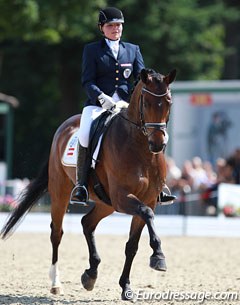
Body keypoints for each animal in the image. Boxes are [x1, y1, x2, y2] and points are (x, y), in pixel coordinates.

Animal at [0, 68, 176, 300]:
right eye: (146, 103)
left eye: (169, 103)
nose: (158, 144)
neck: (140, 149)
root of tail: (65, 126)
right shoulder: (123, 198)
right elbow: (146, 214)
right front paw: (159, 256)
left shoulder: (147, 199)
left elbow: (132, 244)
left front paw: (126, 286)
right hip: (61, 192)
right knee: (57, 233)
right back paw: (56, 283)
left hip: (105, 203)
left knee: (87, 223)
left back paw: (90, 274)